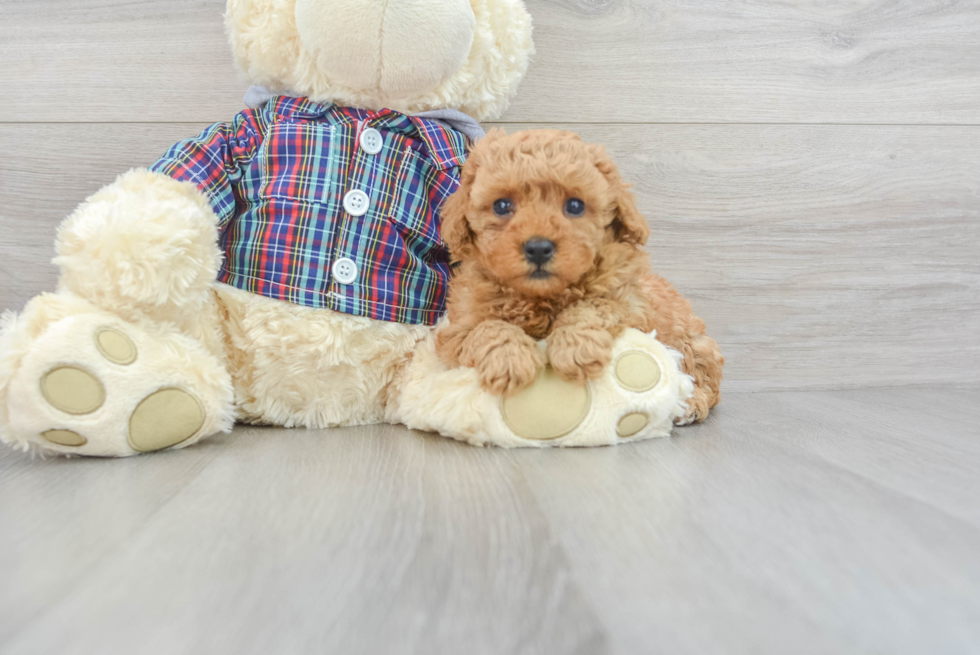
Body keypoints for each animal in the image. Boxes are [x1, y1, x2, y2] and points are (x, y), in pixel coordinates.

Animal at [432, 129, 724, 426]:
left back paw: (691, 405)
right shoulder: (456, 331)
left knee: (703, 379)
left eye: (575, 205)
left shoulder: (631, 305)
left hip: (692, 343)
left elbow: (594, 306)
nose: (538, 248)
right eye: (502, 205)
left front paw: (575, 349)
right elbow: (486, 328)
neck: (541, 296)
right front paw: (510, 359)